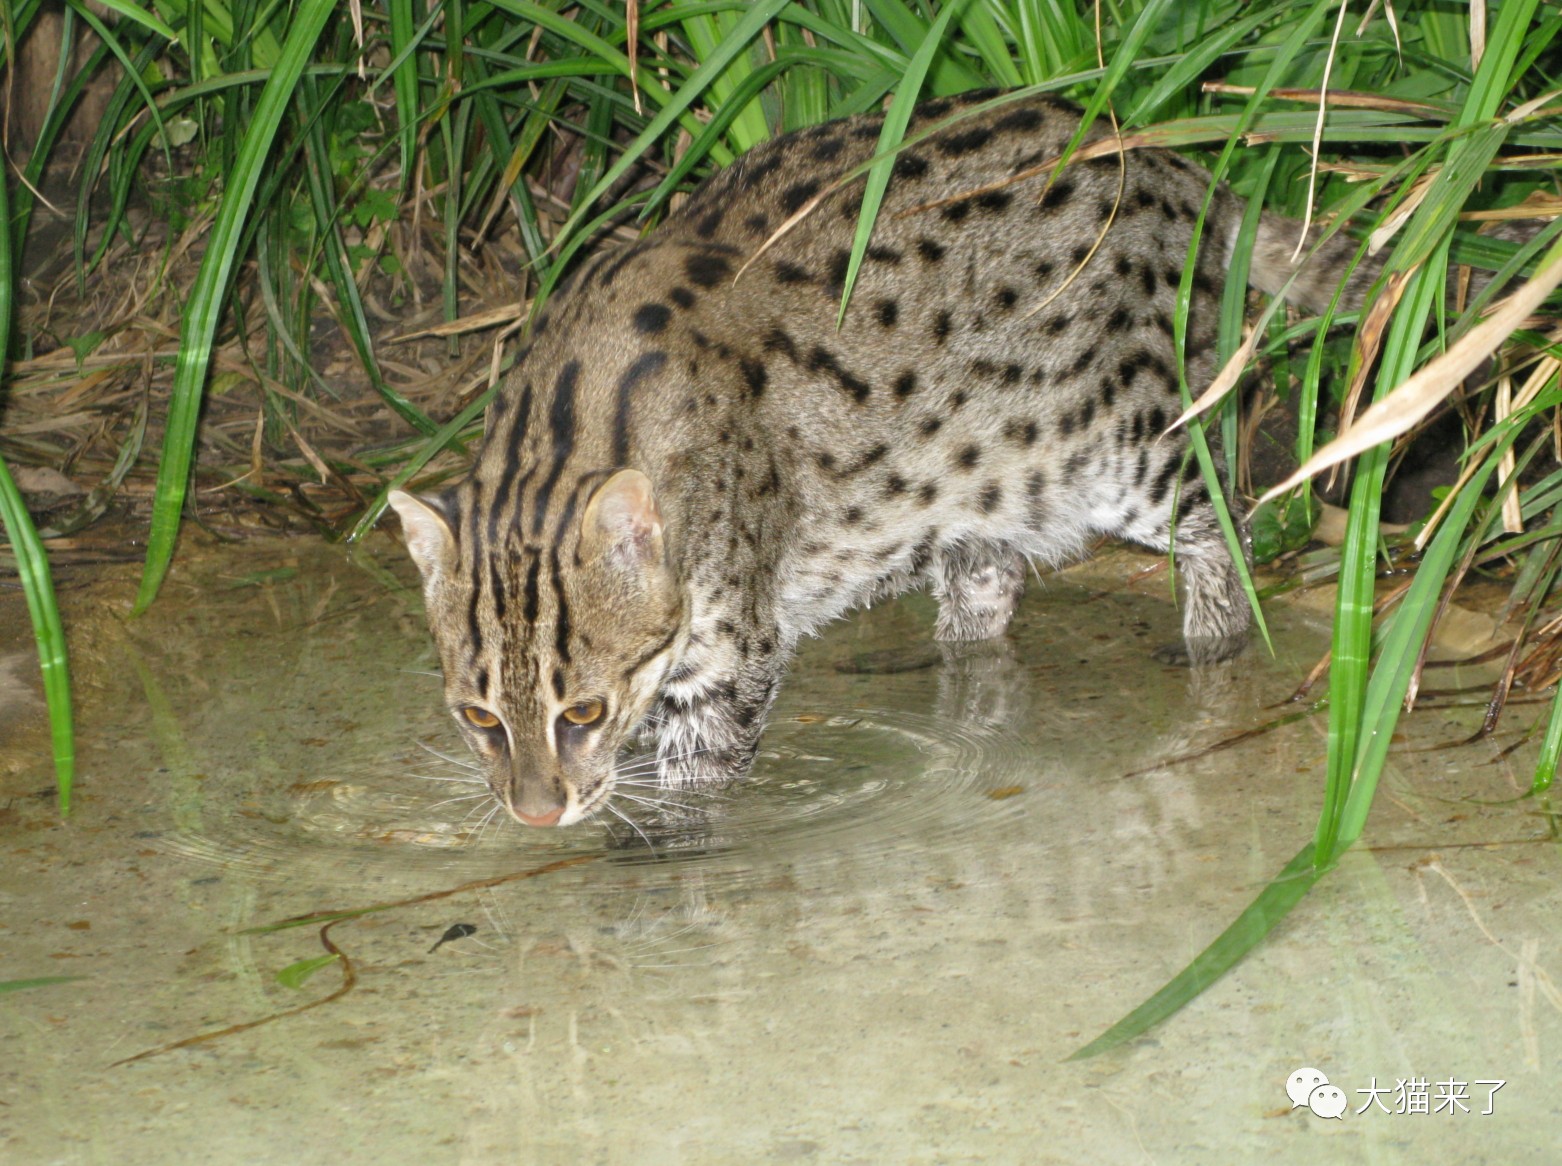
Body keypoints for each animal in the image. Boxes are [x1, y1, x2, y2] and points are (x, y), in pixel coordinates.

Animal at [390, 90, 1355, 825]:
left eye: (583, 710)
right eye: (478, 715)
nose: (534, 814)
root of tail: (1178, 165)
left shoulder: (732, 647)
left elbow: (699, 778)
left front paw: (671, 839)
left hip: (1127, 441)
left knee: (1227, 520)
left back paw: (1213, 641)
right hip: (986, 477)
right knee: (990, 582)